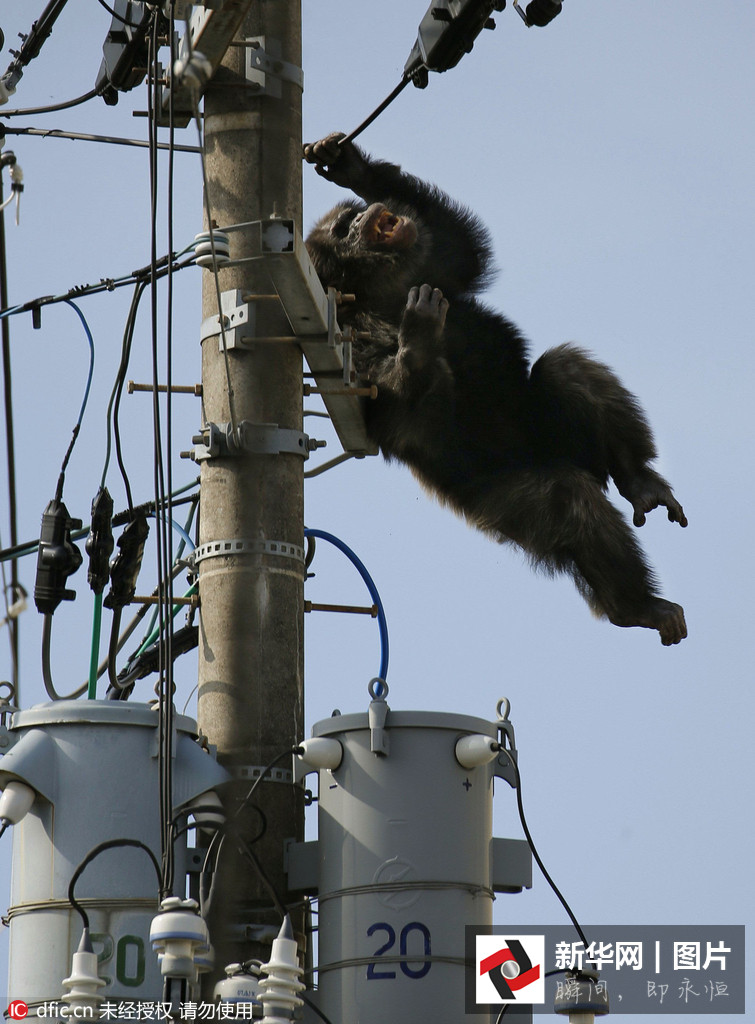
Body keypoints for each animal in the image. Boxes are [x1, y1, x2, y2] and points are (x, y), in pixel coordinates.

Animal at [303, 132, 684, 643]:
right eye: (345, 231)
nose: (364, 217)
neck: (374, 291)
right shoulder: (346, 334)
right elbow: (390, 412)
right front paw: (417, 338)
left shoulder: (427, 264)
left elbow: (459, 248)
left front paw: (349, 165)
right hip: (502, 509)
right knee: (569, 501)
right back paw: (636, 605)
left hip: (560, 438)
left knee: (565, 367)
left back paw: (638, 480)